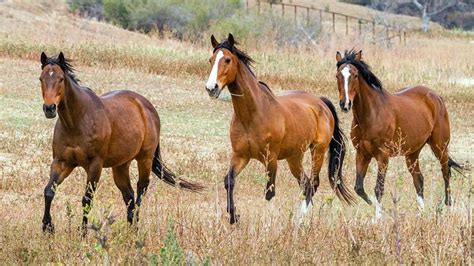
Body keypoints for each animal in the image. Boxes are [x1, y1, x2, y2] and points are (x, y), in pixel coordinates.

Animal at [39, 51, 203, 233]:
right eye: (41, 78)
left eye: (61, 78)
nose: (49, 108)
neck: (77, 121)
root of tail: (147, 107)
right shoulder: (62, 162)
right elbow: (48, 191)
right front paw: (48, 227)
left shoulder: (95, 165)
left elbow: (87, 199)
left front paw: (82, 233)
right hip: (121, 166)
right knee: (129, 195)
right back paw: (130, 228)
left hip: (144, 159)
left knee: (140, 189)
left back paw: (135, 228)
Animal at [206, 33, 354, 224]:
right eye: (210, 60)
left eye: (227, 60)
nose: (211, 88)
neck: (253, 115)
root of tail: (321, 102)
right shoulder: (240, 156)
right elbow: (229, 181)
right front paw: (234, 217)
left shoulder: (271, 159)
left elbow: (269, 192)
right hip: (294, 157)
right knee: (306, 184)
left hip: (318, 151)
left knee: (313, 183)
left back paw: (301, 220)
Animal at [334, 49, 462, 218]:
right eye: (337, 75)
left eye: (355, 75)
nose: (345, 104)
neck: (372, 114)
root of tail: (436, 96)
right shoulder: (362, 154)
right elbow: (359, 188)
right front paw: (375, 207)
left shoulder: (383, 156)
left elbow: (378, 188)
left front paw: (377, 218)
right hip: (412, 153)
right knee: (419, 179)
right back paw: (421, 213)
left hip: (440, 146)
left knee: (446, 172)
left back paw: (445, 207)